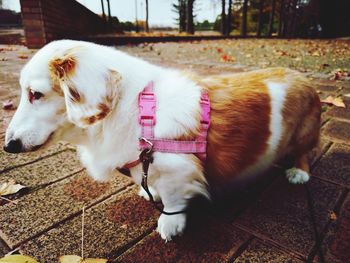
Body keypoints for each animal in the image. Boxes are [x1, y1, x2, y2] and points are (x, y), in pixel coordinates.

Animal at [2, 39, 322, 241]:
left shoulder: (177, 171)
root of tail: (304, 78)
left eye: (36, 94)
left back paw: (299, 172)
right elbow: (150, 183)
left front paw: (170, 222)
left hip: (304, 135)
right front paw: (149, 192)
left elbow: (172, 199)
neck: (139, 109)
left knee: (304, 153)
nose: (8, 146)